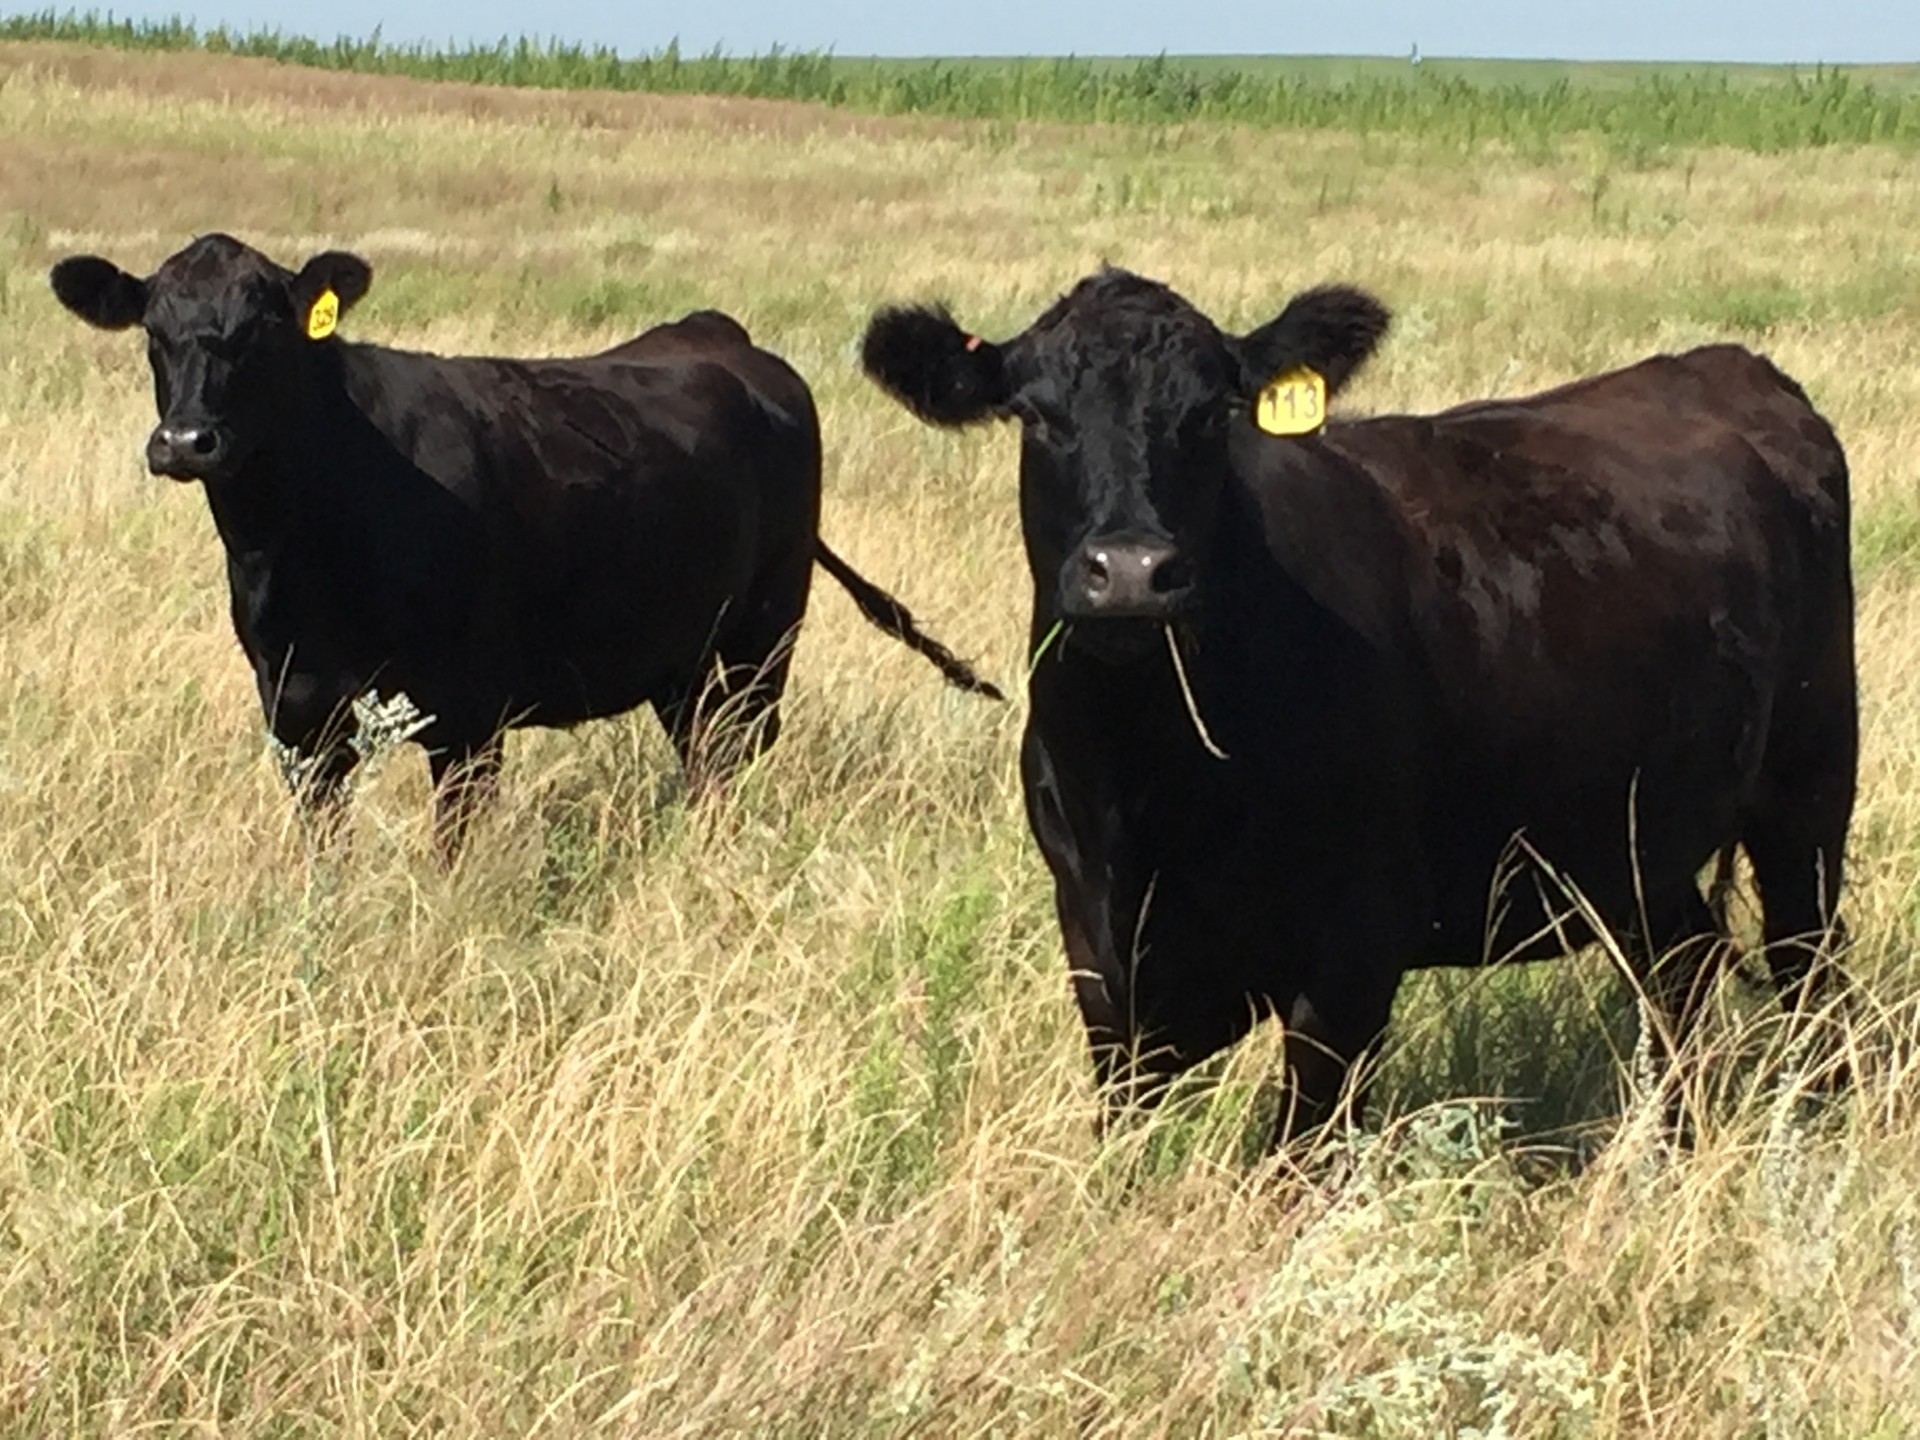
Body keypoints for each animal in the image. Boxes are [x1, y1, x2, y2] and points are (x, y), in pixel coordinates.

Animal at [50, 232, 998, 852]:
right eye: (154, 332)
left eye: (265, 328)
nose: (187, 441)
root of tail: (724, 335)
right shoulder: (297, 712)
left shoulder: (468, 714)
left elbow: (454, 849)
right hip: (680, 655)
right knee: (701, 756)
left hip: (766, 634)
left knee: (739, 753)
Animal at [864, 268, 1850, 1152]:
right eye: (1035, 414)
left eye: (1212, 413)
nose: (1133, 572)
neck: (1144, 781)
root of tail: (1729, 367)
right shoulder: (1100, 956)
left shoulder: (1351, 956)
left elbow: (1301, 1155)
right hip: (1633, 837)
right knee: (1681, 969)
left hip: (1808, 789)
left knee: (1807, 965)